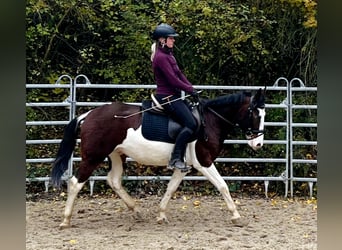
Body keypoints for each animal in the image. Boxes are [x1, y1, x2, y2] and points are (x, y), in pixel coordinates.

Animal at [50, 88, 266, 229]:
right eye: (255, 113)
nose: (258, 144)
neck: (209, 121)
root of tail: (88, 114)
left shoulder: (183, 166)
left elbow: (171, 188)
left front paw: (161, 215)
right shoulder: (203, 162)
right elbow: (223, 186)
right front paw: (236, 216)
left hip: (116, 155)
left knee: (114, 181)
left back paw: (136, 211)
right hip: (93, 156)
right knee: (75, 183)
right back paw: (65, 220)